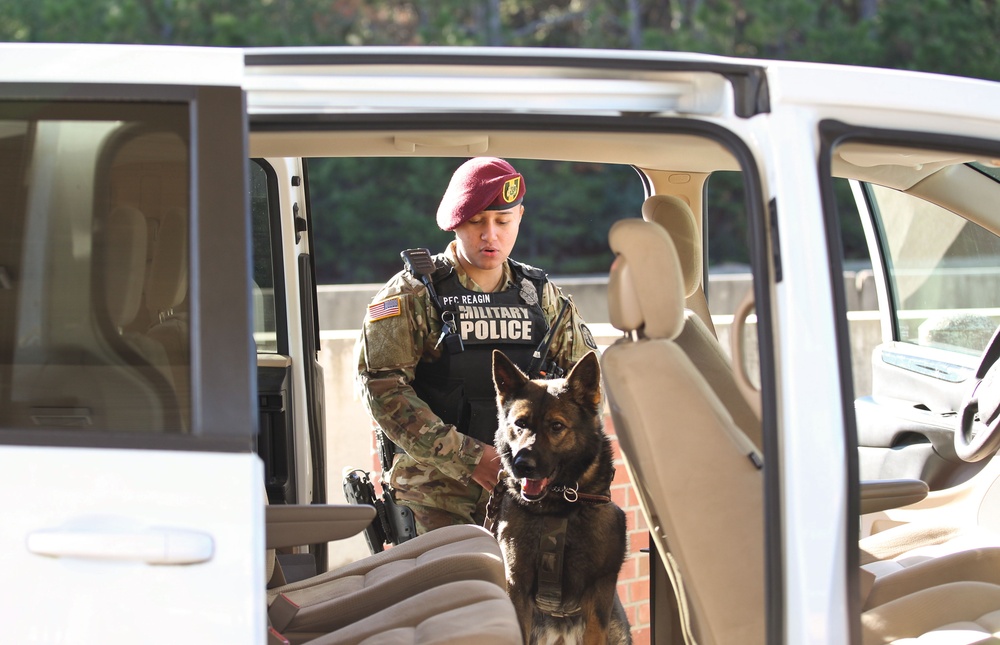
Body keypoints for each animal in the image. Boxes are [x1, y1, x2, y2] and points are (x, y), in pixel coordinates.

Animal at [488, 350, 628, 644]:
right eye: (520, 424)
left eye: (556, 426)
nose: (522, 465)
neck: (557, 507)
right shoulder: (516, 585)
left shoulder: (598, 593)